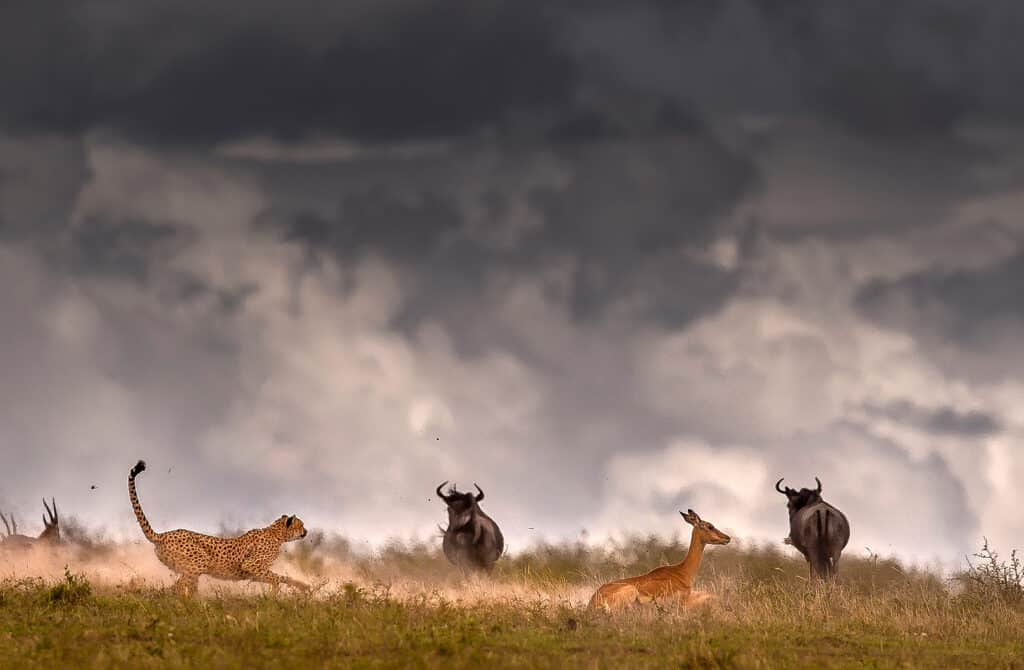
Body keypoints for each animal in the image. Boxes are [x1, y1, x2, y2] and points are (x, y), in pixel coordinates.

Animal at [125, 463, 307, 598]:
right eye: (301, 525)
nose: (305, 532)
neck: (277, 535)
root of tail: (163, 535)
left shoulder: (254, 572)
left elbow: (280, 577)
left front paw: (301, 586)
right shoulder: (251, 565)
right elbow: (276, 577)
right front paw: (282, 591)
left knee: (184, 587)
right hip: (199, 562)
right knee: (177, 587)